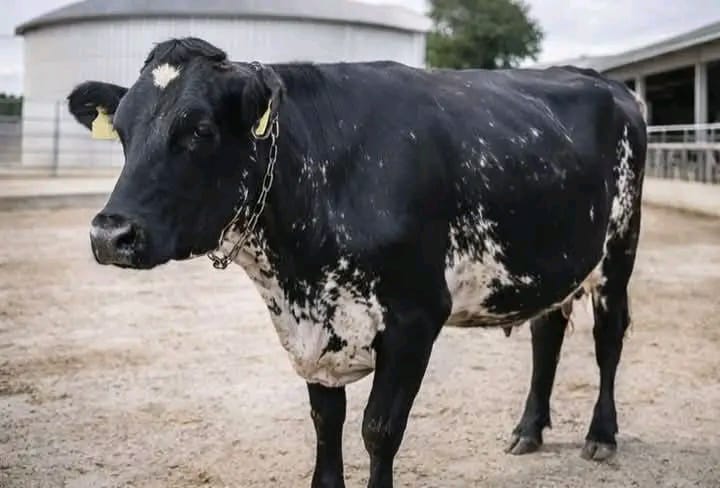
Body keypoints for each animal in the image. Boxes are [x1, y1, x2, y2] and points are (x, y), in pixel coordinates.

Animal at [67, 37, 647, 487]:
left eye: (201, 130)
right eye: (122, 131)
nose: (108, 234)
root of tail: (608, 83)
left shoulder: (415, 318)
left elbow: (378, 430)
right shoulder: (314, 328)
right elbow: (326, 424)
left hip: (618, 251)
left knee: (609, 338)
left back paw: (601, 435)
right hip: (557, 263)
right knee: (547, 333)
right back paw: (528, 429)